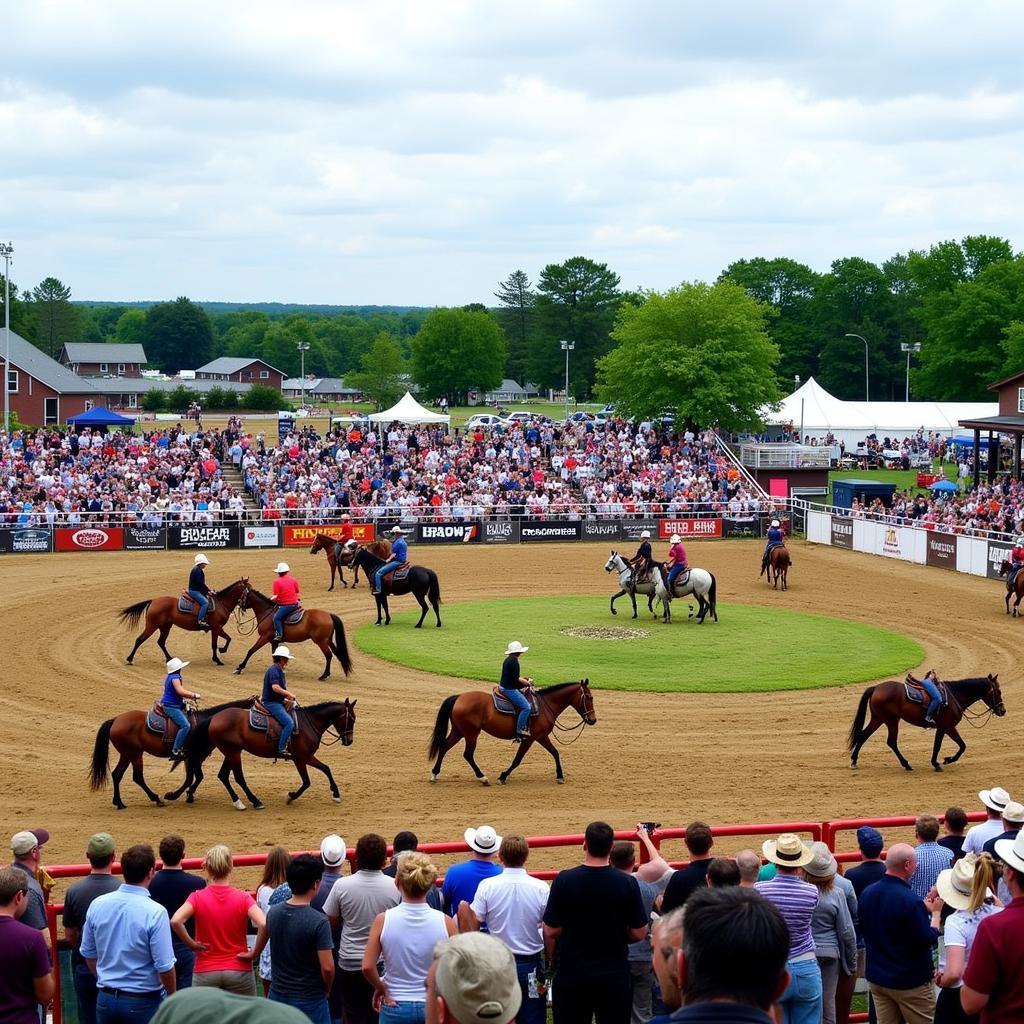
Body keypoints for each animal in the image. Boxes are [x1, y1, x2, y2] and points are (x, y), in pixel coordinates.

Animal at [89, 700, 249, 811]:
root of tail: (115, 720)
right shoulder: (194, 756)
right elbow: (193, 777)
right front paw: (174, 795)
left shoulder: (194, 757)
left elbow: (196, 777)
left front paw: (189, 795)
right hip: (135, 754)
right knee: (137, 777)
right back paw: (156, 798)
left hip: (127, 754)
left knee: (117, 774)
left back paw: (119, 802)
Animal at [117, 581, 247, 667]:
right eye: (249, 589)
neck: (221, 603)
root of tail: (153, 601)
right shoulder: (216, 628)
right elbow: (217, 644)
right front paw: (218, 658)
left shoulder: (216, 629)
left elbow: (228, 639)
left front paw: (221, 652)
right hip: (152, 626)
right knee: (140, 640)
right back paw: (130, 659)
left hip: (165, 627)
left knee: (161, 642)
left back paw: (169, 658)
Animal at [187, 696, 356, 806]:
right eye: (352, 719)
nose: (349, 741)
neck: (308, 723)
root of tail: (214, 718)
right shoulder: (302, 758)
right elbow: (308, 781)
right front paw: (291, 796)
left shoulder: (305, 758)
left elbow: (325, 769)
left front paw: (335, 793)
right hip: (233, 753)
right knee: (238, 777)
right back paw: (255, 801)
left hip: (231, 752)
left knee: (223, 776)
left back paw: (235, 800)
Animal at [425, 684, 598, 786]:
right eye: (590, 697)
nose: (593, 719)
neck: (544, 705)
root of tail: (458, 697)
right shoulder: (531, 738)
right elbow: (517, 759)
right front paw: (503, 776)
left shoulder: (541, 737)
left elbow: (555, 752)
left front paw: (560, 775)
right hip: (471, 733)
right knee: (467, 754)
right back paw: (482, 777)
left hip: (459, 731)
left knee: (444, 747)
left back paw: (434, 774)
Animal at [847, 675, 1007, 770]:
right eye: (998, 691)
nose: (1003, 710)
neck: (954, 696)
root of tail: (876, 688)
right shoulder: (948, 727)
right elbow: (961, 746)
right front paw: (945, 761)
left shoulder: (942, 728)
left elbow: (939, 745)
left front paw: (937, 762)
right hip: (891, 721)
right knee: (891, 741)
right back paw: (906, 764)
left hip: (879, 719)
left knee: (863, 735)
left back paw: (854, 760)